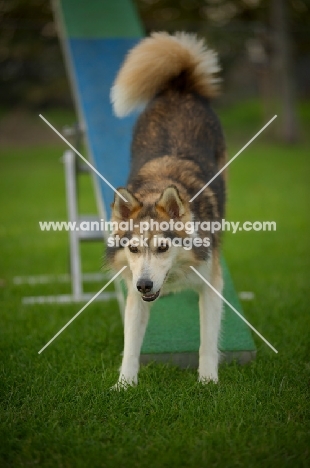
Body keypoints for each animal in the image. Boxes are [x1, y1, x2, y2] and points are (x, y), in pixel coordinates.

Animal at [108, 30, 226, 388]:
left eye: (163, 247)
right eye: (133, 249)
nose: (145, 285)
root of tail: (179, 86)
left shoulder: (211, 284)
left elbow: (207, 339)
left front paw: (207, 382)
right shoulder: (133, 293)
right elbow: (131, 342)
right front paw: (124, 385)